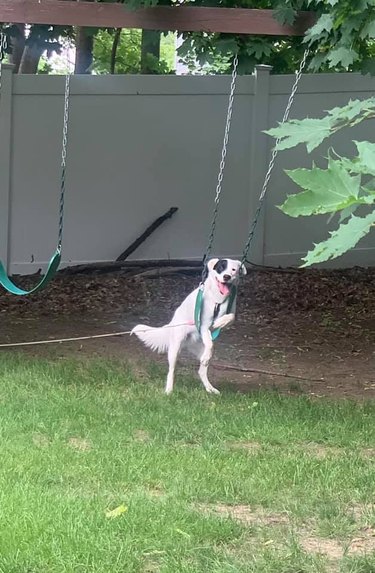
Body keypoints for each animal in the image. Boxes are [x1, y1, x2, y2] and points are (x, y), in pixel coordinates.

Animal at [131, 258, 247, 394]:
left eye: (233, 269)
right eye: (220, 268)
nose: (226, 276)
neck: (218, 299)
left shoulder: (228, 314)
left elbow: (231, 317)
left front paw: (219, 322)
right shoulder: (204, 325)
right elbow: (209, 341)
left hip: (200, 350)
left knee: (202, 369)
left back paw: (210, 388)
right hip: (174, 349)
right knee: (171, 371)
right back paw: (169, 390)